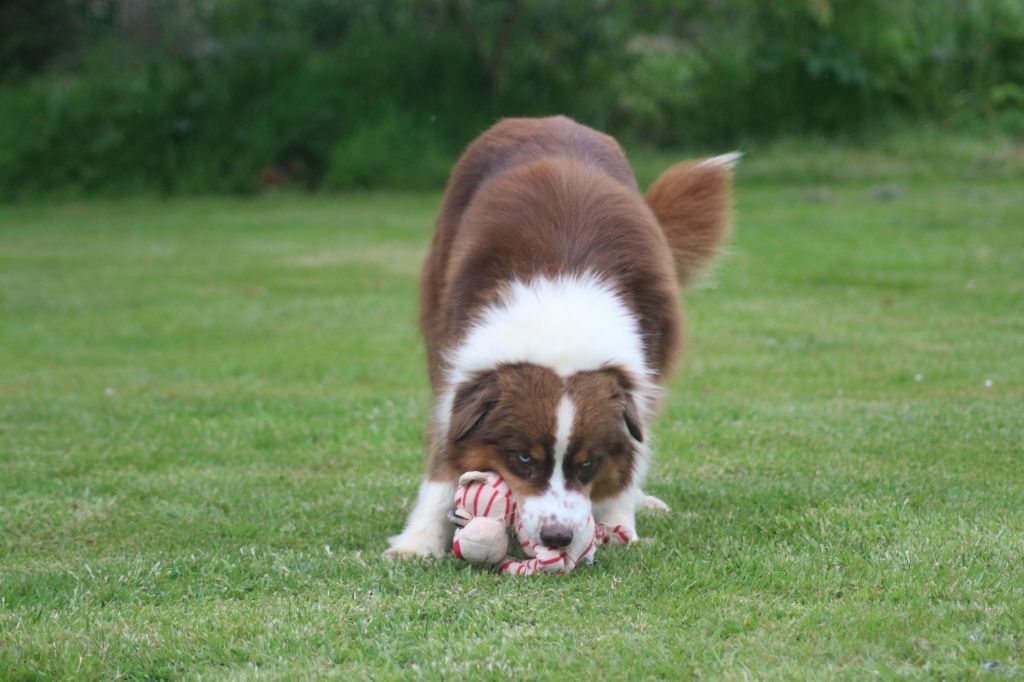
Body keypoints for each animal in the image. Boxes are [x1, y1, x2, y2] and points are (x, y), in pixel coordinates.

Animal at [385, 112, 737, 557]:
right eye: (522, 459)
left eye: (587, 463)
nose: (557, 537)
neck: (560, 316)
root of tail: (544, 119)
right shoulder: (457, 368)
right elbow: (445, 453)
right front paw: (419, 542)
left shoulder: (644, 374)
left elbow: (632, 450)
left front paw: (619, 521)